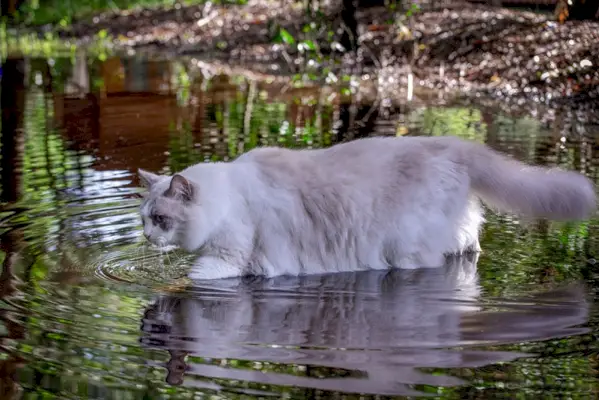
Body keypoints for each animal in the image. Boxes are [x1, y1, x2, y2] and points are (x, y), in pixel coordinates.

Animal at [138, 136, 596, 280]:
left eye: (160, 219)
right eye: (144, 219)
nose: (144, 235)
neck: (227, 195)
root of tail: (453, 144)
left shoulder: (227, 258)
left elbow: (190, 279)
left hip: (408, 249)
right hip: (458, 233)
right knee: (469, 246)